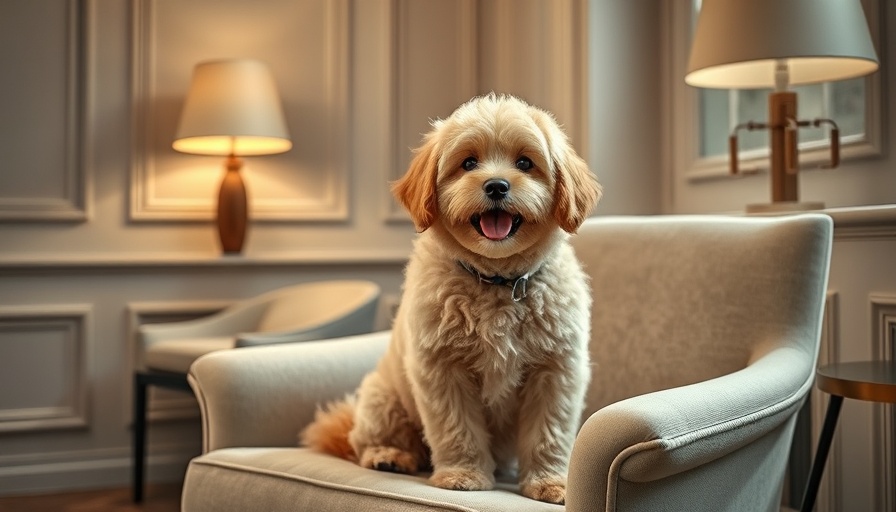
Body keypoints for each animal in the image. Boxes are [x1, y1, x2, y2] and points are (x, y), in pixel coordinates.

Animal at [300, 93, 600, 504]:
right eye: (468, 162)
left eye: (525, 162)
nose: (496, 186)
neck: (496, 281)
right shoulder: (443, 371)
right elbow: (458, 429)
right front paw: (463, 475)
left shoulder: (556, 371)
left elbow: (548, 433)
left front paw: (550, 481)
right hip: (382, 400)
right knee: (368, 442)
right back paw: (388, 455)